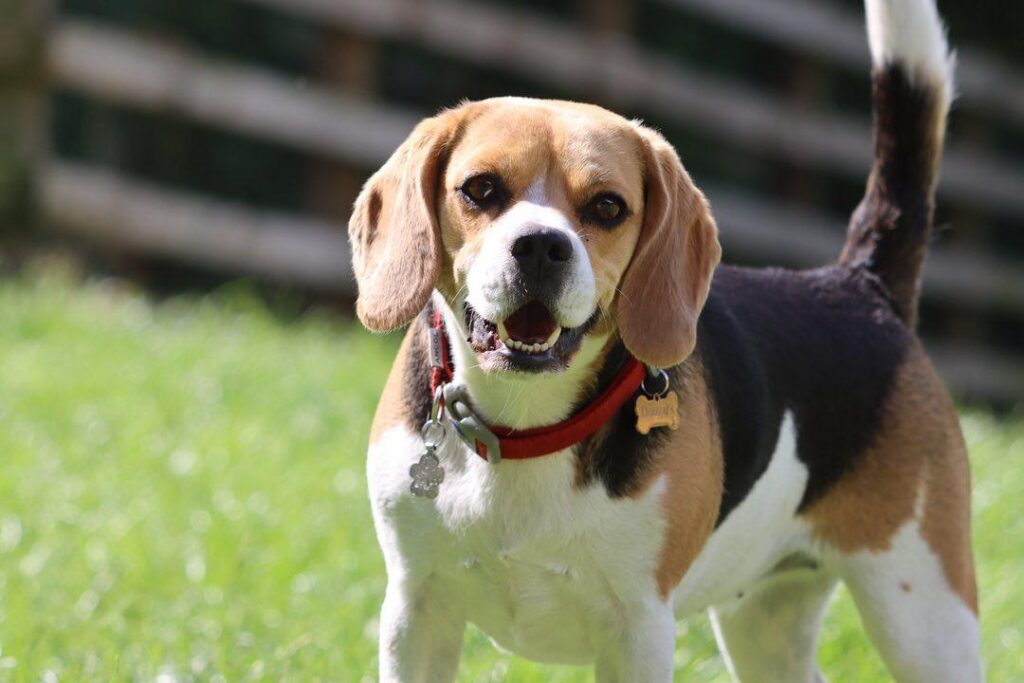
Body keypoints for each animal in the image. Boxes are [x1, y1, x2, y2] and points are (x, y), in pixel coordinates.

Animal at [352, 2, 983, 679]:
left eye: (607, 207)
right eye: (481, 189)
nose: (542, 246)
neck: (524, 426)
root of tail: (860, 283)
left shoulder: (638, 629)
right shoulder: (416, 610)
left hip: (925, 614)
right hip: (766, 625)